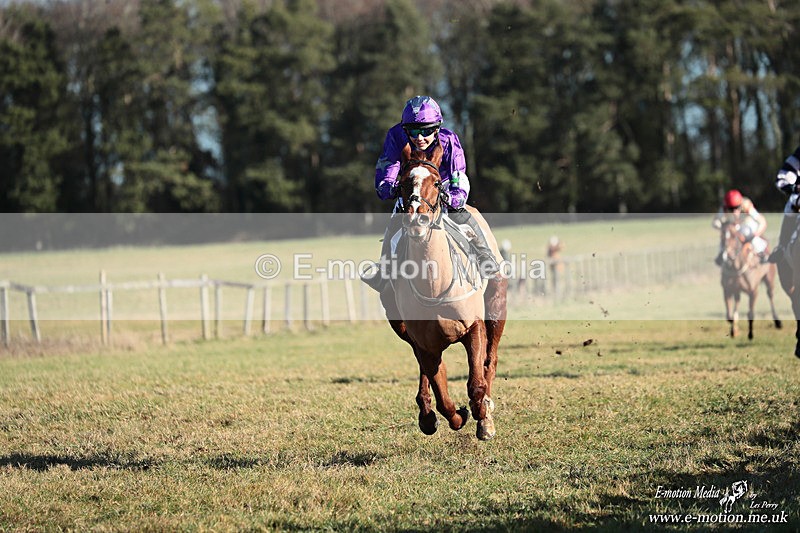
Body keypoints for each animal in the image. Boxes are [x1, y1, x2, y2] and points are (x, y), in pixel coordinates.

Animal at [376, 143, 507, 440]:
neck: (434, 284)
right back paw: (426, 414)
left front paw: (483, 418)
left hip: (497, 308)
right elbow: (440, 391)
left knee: (490, 360)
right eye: (403, 182)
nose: (417, 218)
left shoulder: (474, 327)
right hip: (403, 329)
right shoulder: (424, 343)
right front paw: (457, 415)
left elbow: (477, 383)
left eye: (436, 182)